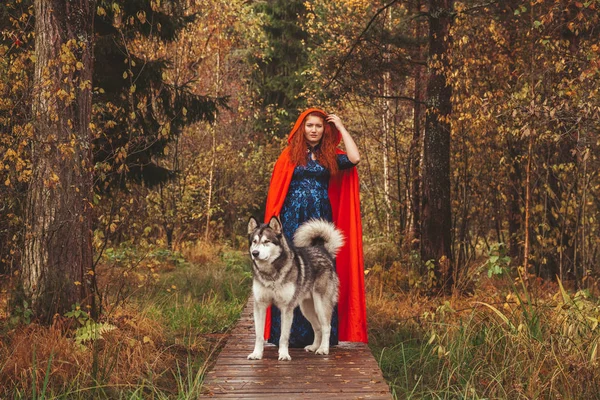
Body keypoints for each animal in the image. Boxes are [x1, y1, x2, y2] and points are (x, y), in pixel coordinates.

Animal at [247, 217, 342, 360]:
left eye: (266, 241)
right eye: (254, 241)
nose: (255, 253)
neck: (270, 274)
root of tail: (322, 250)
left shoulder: (286, 308)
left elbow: (283, 336)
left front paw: (284, 354)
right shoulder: (260, 306)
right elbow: (259, 335)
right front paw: (257, 354)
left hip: (321, 306)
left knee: (326, 327)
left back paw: (323, 349)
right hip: (306, 308)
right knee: (317, 327)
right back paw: (314, 347)